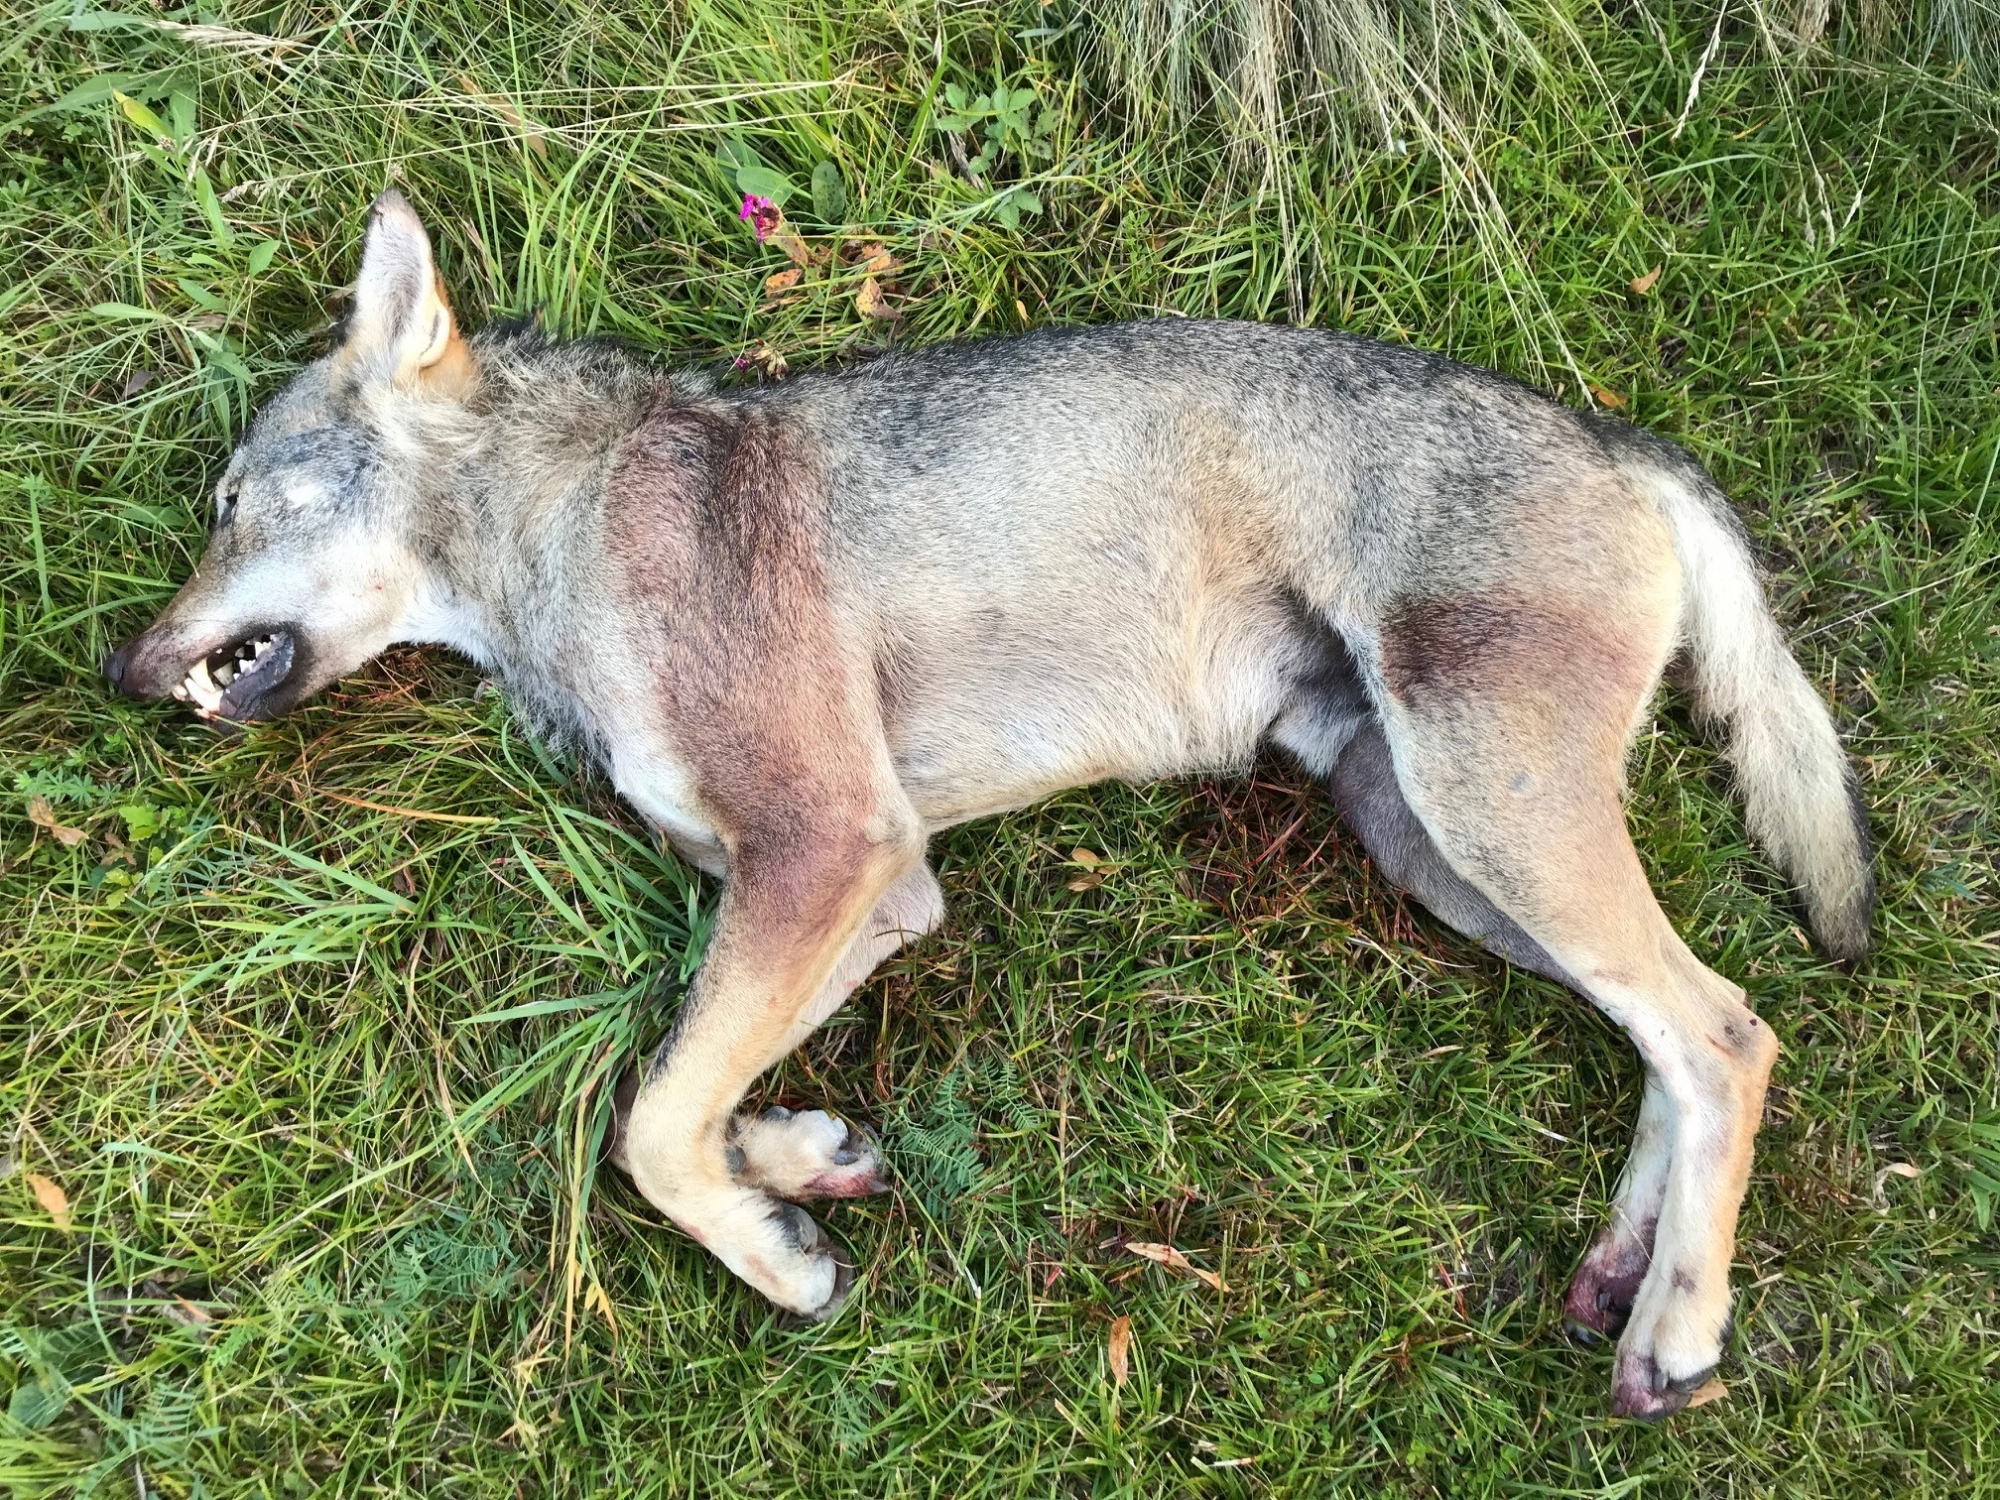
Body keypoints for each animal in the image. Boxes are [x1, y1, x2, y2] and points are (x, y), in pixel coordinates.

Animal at [101, 191, 1864, 1424]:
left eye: (231, 504)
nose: (122, 672)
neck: (571, 527)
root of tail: (1621, 440)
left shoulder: (826, 850)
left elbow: (650, 1127)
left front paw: (779, 1257)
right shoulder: (870, 892)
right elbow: (677, 1093)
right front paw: (805, 1162)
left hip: (1493, 821)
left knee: (1728, 1030)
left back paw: (1682, 1327)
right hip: (1444, 850)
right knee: (1678, 1041)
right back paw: (1628, 1277)